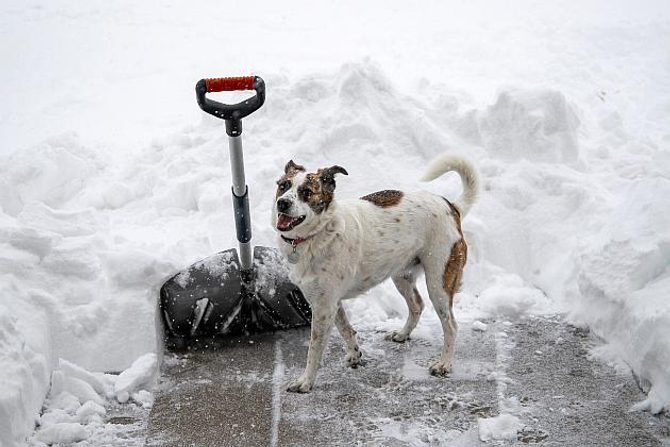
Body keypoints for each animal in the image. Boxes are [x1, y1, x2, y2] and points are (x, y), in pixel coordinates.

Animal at [272, 153, 478, 392]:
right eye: (283, 186)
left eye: (306, 192)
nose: (282, 203)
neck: (318, 234)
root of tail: (452, 206)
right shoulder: (330, 302)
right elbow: (345, 328)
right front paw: (355, 354)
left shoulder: (324, 307)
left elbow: (314, 349)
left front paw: (306, 381)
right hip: (402, 275)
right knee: (417, 305)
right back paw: (403, 334)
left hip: (439, 282)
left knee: (451, 325)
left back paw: (444, 364)